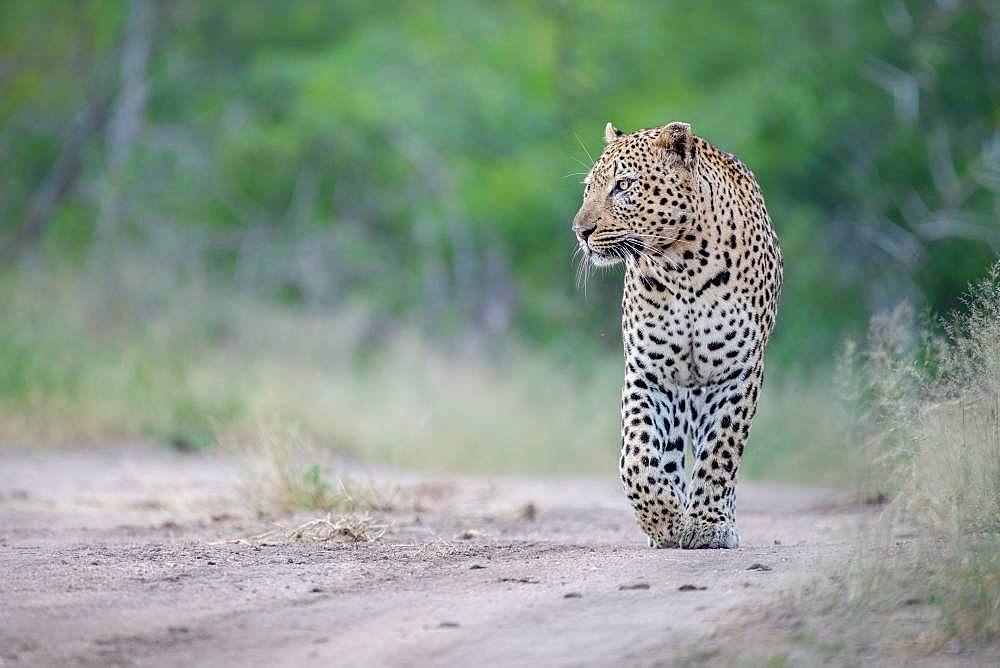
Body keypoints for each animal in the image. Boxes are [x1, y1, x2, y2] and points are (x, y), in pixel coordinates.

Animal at [572, 118, 780, 548]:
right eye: (588, 188)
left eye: (623, 185)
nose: (580, 230)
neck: (682, 264)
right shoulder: (649, 372)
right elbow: (635, 456)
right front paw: (666, 520)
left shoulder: (738, 372)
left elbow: (720, 451)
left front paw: (707, 525)